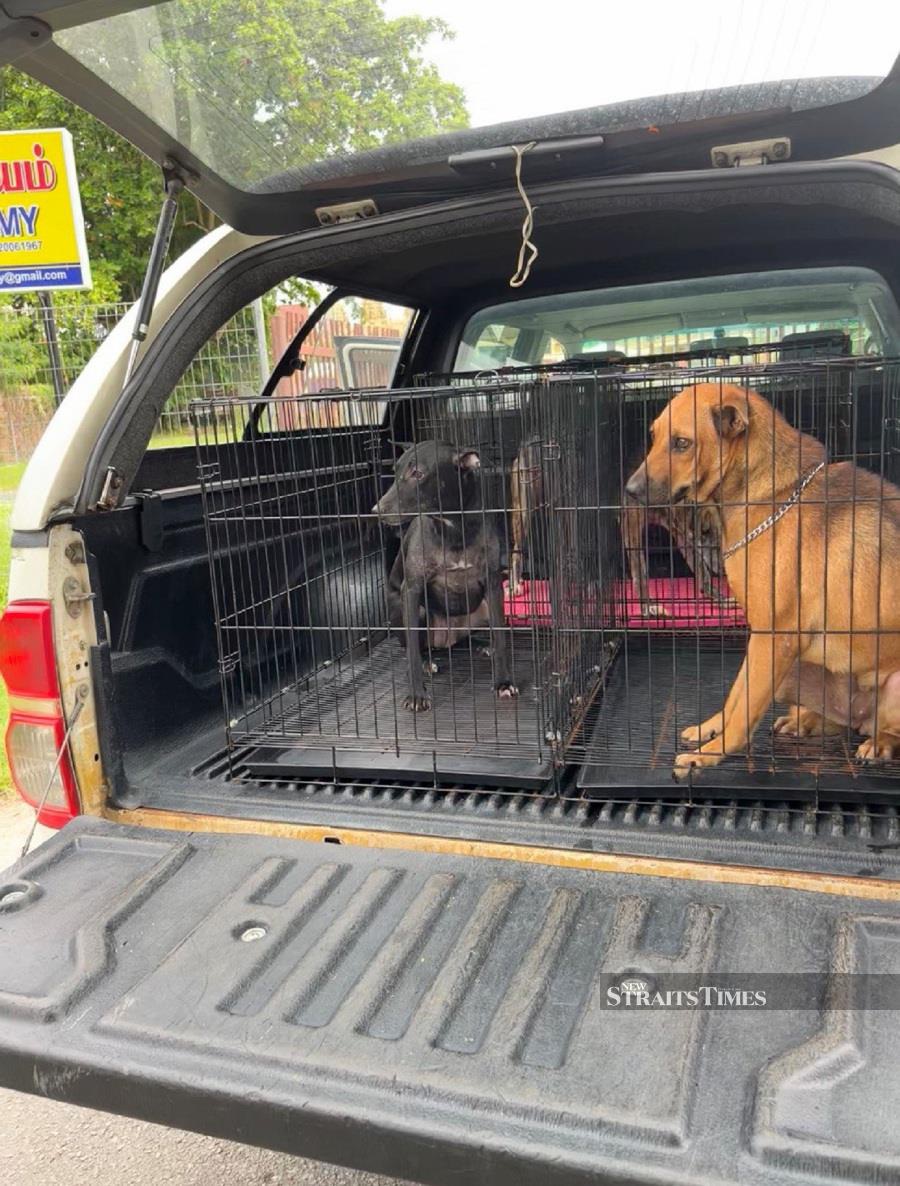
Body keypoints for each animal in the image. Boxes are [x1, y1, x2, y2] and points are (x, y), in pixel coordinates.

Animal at [369, 438, 516, 706]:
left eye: (418, 473)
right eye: (395, 471)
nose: (376, 511)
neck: (452, 528)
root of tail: (447, 639)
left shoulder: (492, 584)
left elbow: (501, 639)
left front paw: (503, 682)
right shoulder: (412, 589)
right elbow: (412, 653)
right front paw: (417, 694)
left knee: (472, 637)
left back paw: (482, 643)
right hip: (416, 611)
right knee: (415, 648)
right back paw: (427, 662)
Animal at [626, 384, 900, 782]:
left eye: (681, 443)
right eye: (654, 437)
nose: (628, 491)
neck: (772, 493)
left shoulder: (775, 637)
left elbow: (743, 713)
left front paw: (709, 756)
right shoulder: (759, 637)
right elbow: (736, 695)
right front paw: (710, 729)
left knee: (884, 729)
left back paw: (880, 744)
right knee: (842, 721)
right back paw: (805, 721)